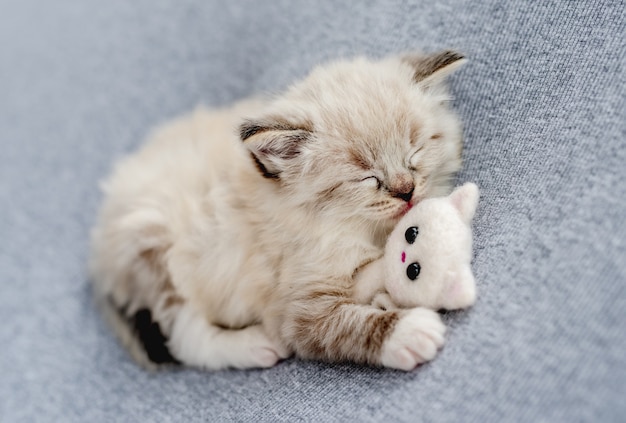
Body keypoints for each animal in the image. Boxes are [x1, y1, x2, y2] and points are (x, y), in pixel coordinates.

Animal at [90, 51, 466, 372]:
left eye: (414, 152)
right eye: (367, 176)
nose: (406, 191)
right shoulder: (295, 309)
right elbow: (347, 324)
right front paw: (409, 333)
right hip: (162, 252)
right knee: (186, 337)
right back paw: (255, 346)